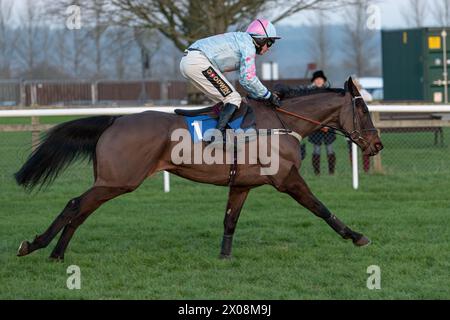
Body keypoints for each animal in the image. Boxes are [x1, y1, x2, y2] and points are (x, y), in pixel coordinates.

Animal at [14, 77, 384, 260]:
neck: (282, 123)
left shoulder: (242, 184)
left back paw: (54, 252)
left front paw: (224, 257)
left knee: (80, 210)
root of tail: (116, 120)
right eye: (364, 111)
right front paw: (356, 235)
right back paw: (38, 246)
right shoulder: (286, 178)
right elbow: (320, 208)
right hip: (118, 180)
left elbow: (230, 220)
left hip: (111, 181)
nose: (377, 144)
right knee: (75, 205)